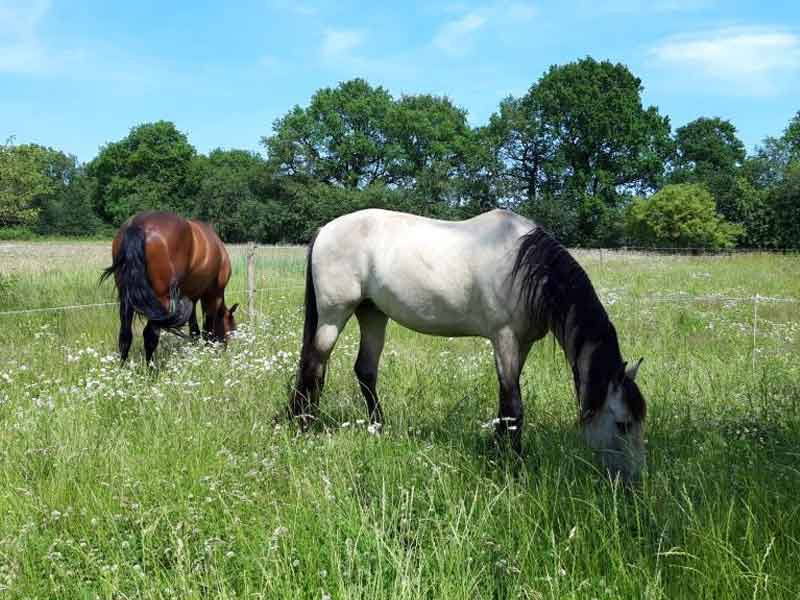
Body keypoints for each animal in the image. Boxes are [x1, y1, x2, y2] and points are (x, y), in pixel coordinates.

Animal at [101, 212, 238, 364]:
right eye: (231, 329)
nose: (225, 351)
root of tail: (138, 225)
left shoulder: (192, 297)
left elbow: (194, 329)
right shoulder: (212, 296)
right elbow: (207, 328)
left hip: (127, 299)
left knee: (125, 335)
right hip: (160, 301)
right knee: (150, 336)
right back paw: (151, 369)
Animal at [290, 208, 646, 482]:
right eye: (622, 424)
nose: (632, 481)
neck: (527, 268)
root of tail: (326, 229)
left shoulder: (522, 344)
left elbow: (505, 402)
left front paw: (498, 449)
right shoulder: (504, 338)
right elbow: (514, 405)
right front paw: (514, 463)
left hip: (372, 313)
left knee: (364, 370)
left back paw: (378, 428)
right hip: (335, 314)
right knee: (313, 364)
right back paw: (303, 426)